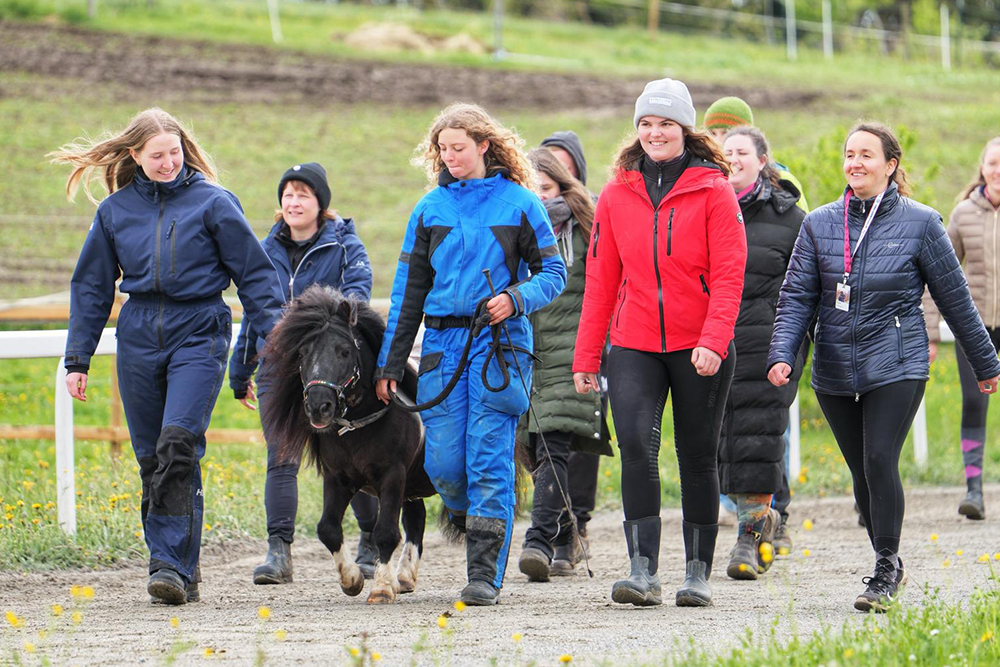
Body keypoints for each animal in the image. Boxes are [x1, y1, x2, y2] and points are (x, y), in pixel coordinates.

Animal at [264, 286, 436, 604]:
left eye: (344, 351)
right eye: (303, 353)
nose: (318, 406)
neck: (360, 425)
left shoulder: (392, 475)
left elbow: (385, 532)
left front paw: (381, 588)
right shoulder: (338, 477)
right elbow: (328, 529)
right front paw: (352, 579)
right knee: (417, 519)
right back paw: (405, 576)